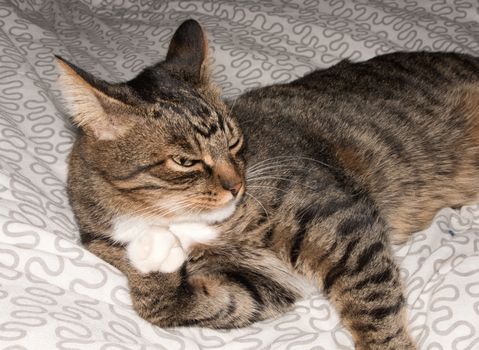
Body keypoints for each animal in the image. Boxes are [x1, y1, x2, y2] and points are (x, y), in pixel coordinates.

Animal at [60, 19, 479, 350]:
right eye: (185, 161)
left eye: (234, 142)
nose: (236, 186)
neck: (178, 220)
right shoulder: (263, 282)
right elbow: (175, 306)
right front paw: (152, 257)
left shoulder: (339, 221)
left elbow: (372, 303)